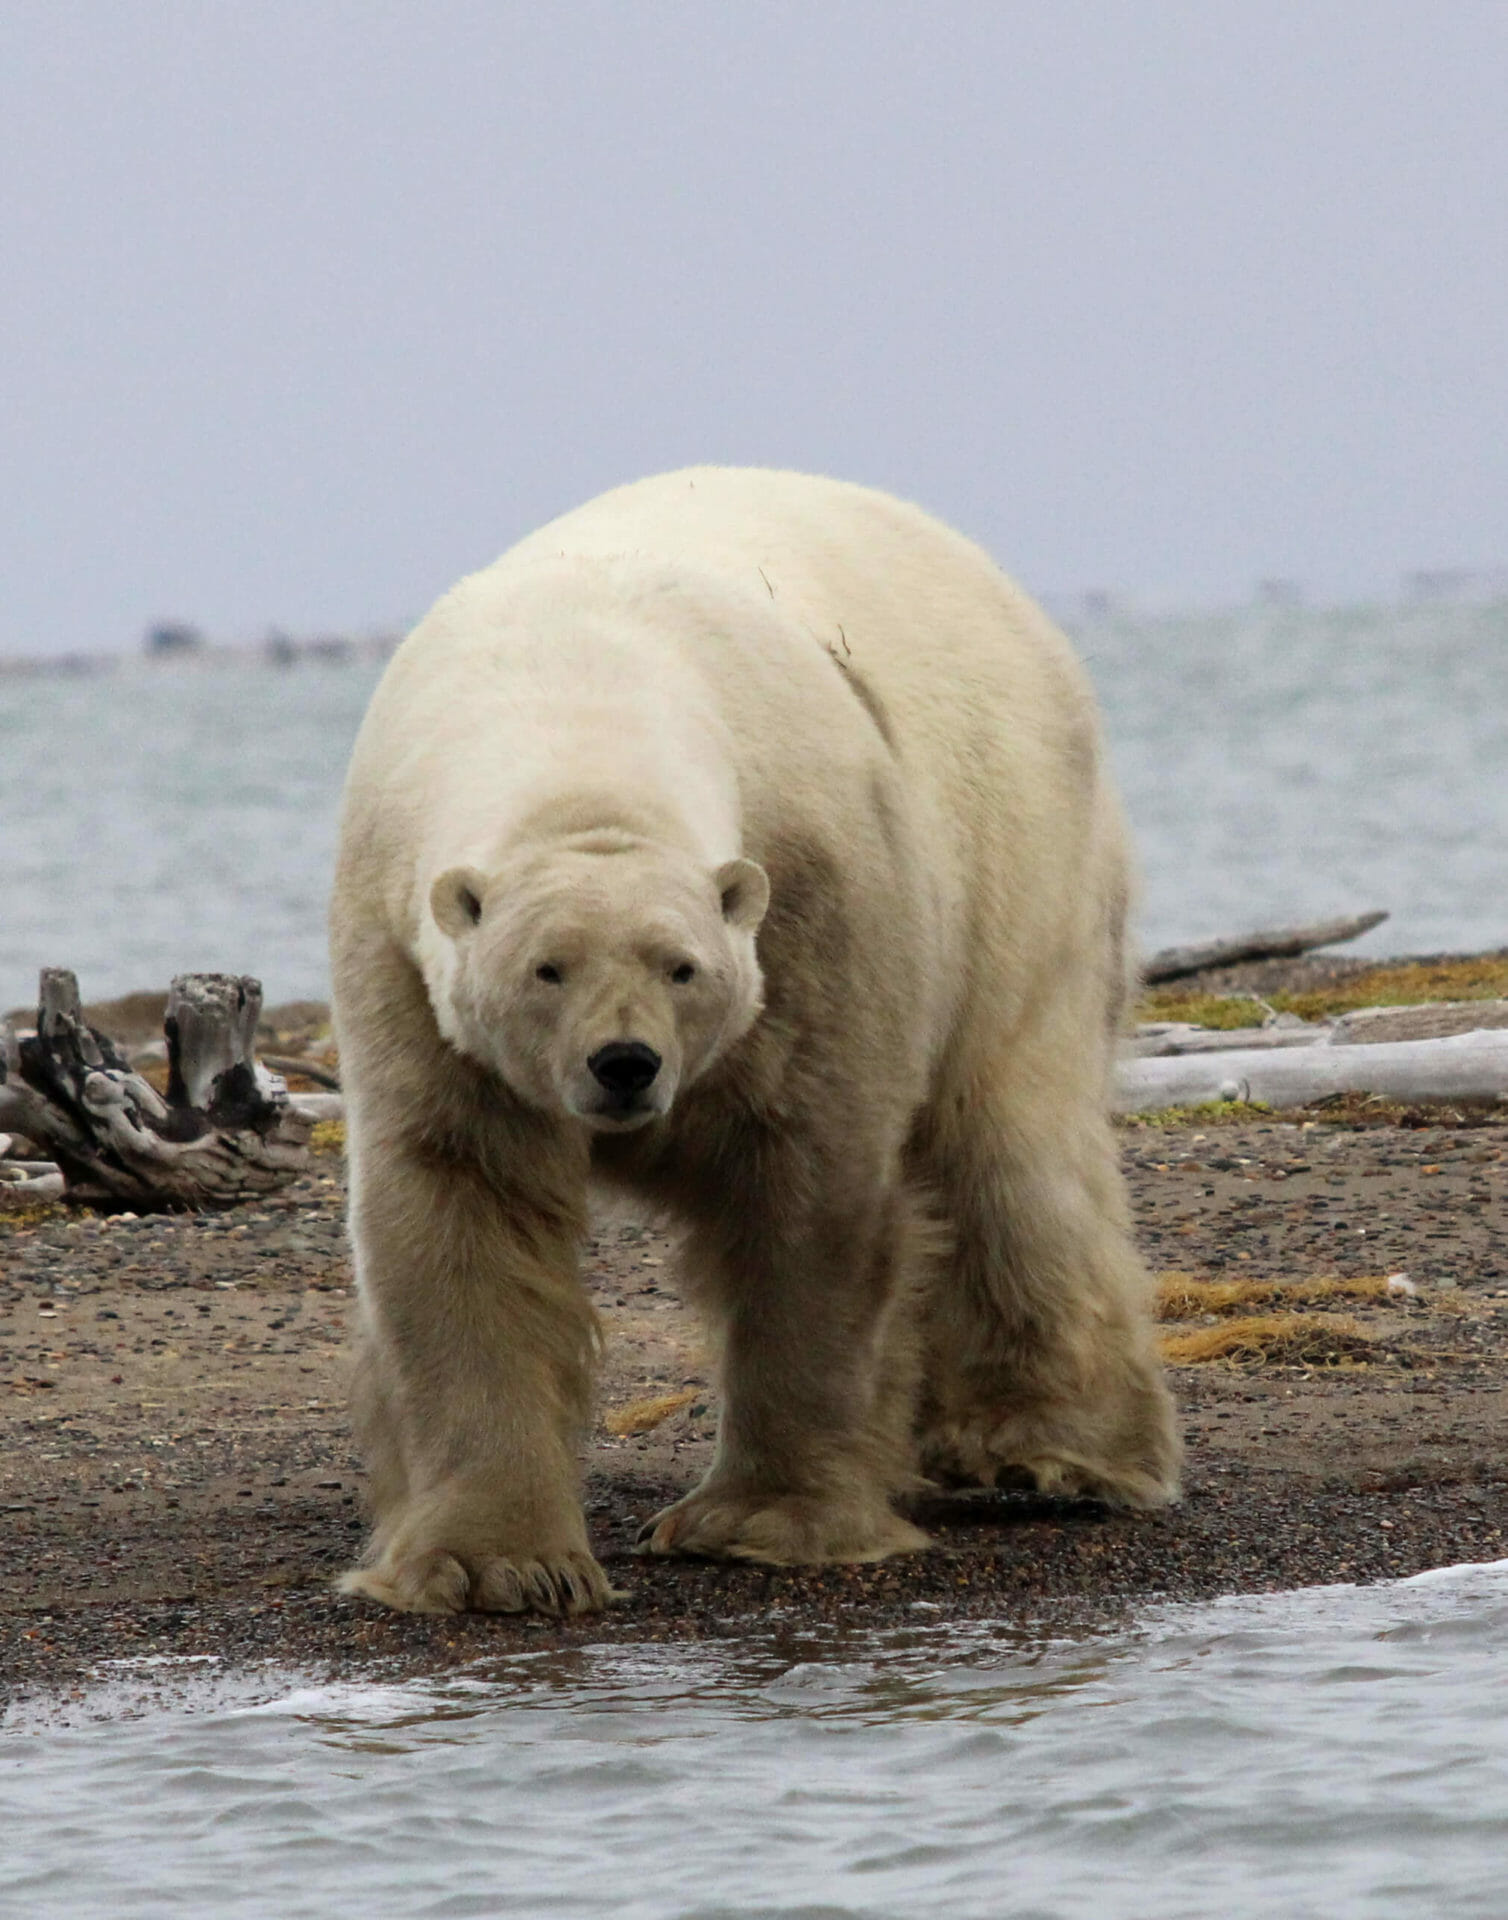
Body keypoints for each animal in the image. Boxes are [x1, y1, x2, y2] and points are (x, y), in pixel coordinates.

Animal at [330, 472, 1175, 1612]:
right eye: (545, 969)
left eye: (679, 966)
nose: (625, 1065)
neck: (577, 694)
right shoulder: (407, 970)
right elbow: (461, 1203)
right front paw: (494, 1564)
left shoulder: (816, 896)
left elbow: (807, 1192)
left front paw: (758, 1523)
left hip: (1015, 852)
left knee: (1011, 1145)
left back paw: (1045, 1451)